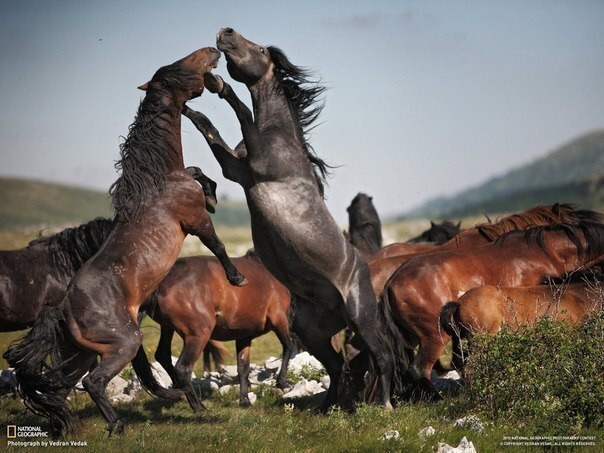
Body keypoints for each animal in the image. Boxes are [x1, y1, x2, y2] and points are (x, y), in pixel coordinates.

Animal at [4, 46, 245, 438]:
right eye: (180, 66)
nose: (212, 51)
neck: (159, 181)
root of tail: (62, 309)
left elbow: (197, 172)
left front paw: (211, 192)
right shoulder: (194, 221)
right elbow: (218, 244)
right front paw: (238, 277)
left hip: (81, 352)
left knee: (60, 384)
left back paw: (65, 424)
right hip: (123, 344)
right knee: (93, 382)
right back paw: (116, 425)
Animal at [139, 251, 294, 410]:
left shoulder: (244, 336)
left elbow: (243, 368)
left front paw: (244, 401)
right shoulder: (279, 319)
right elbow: (288, 347)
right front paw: (282, 382)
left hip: (167, 327)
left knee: (162, 355)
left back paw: (180, 391)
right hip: (198, 336)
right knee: (183, 368)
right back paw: (199, 407)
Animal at [180, 28, 406, 410]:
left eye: (258, 48)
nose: (225, 32)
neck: (280, 135)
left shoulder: (256, 165)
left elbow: (241, 110)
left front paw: (218, 84)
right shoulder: (237, 171)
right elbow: (208, 130)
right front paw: (187, 107)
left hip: (361, 319)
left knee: (383, 357)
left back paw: (385, 406)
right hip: (312, 332)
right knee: (338, 367)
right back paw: (325, 408)